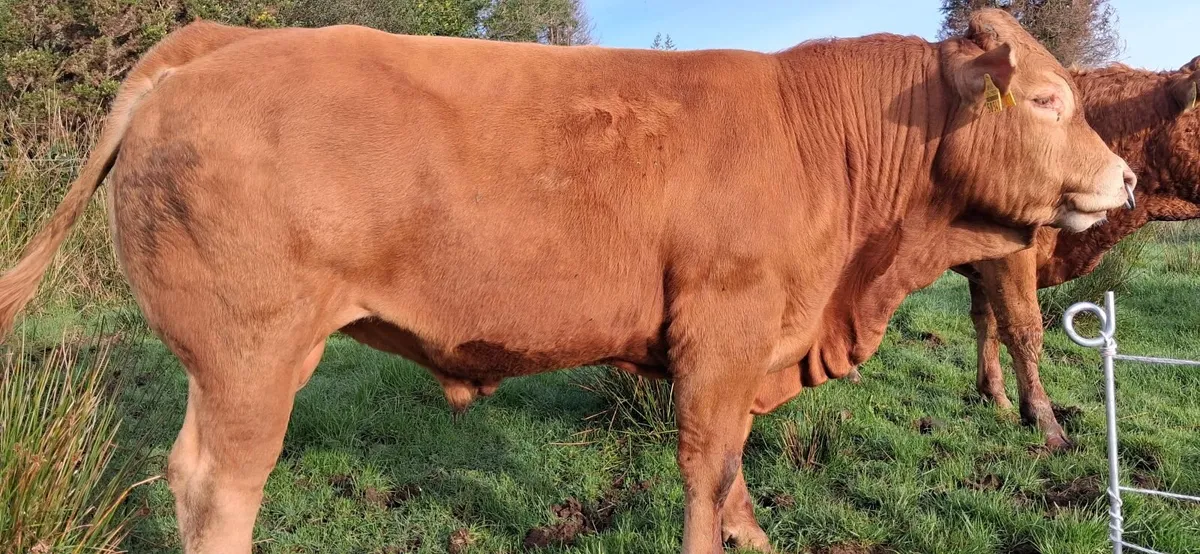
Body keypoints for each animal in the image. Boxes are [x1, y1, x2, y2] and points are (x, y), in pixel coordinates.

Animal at [0, 9, 1135, 553]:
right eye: (1046, 98)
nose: (1124, 178)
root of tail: (212, 46)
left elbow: (734, 468)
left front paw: (757, 534)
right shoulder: (723, 328)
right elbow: (705, 467)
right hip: (250, 349)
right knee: (216, 483)